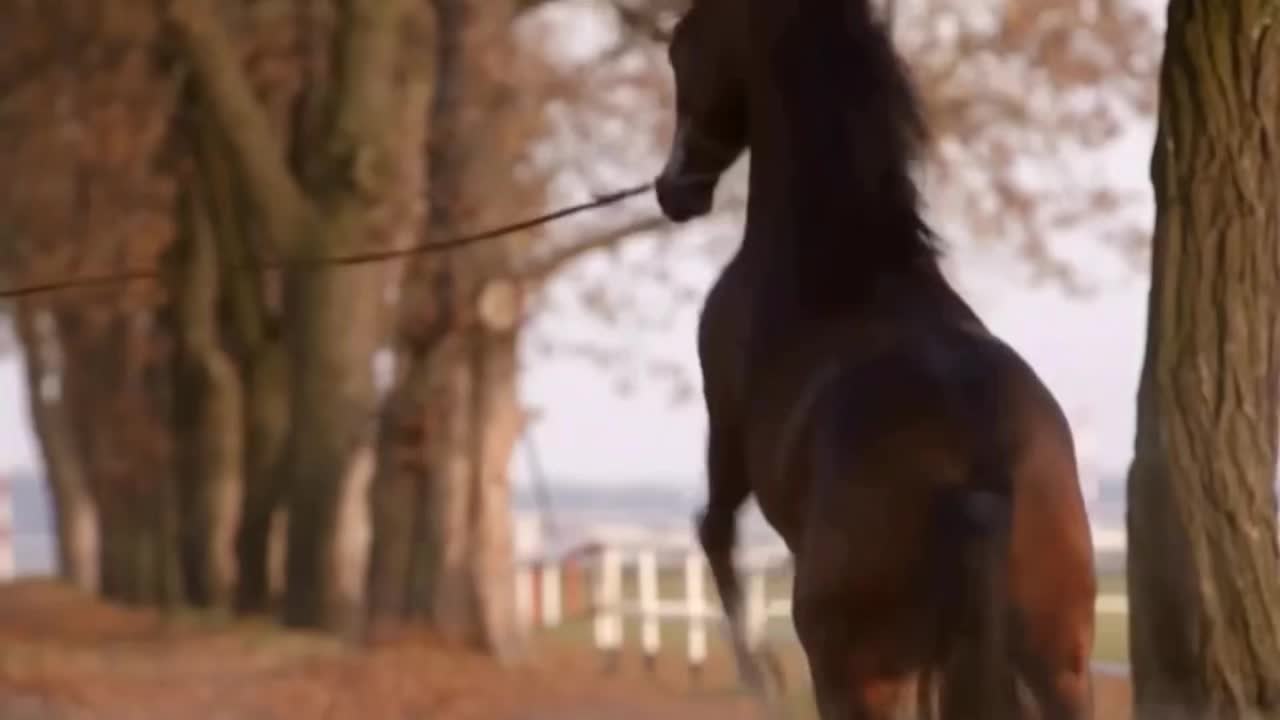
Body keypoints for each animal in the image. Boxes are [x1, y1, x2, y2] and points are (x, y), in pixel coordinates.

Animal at [653, 0, 1097, 718]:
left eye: (680, 44)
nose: (674, 191)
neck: (847, 263)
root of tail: (981, 469)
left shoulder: (727, 434)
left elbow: (712, 530)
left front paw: (759, 672)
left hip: (857, 676)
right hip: (1059, 672)